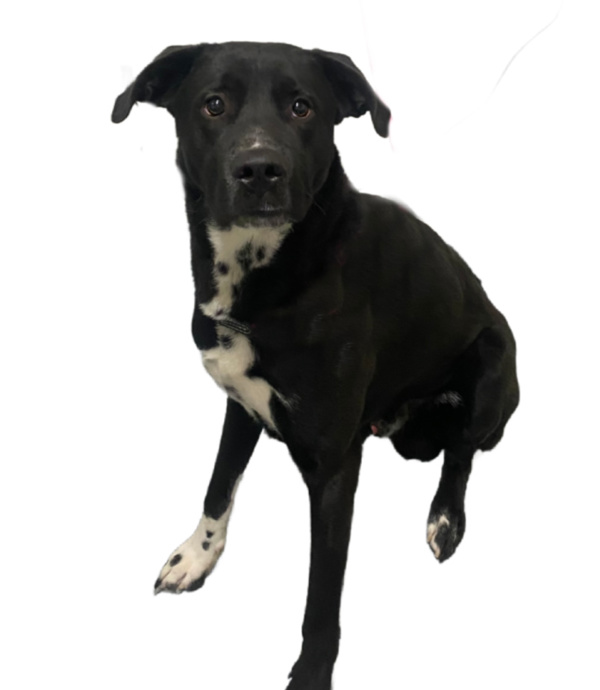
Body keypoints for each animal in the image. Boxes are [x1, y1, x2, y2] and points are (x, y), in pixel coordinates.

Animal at [112, 42, 519, 690]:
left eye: (302, 107)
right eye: (213, 104)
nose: (259, 170)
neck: (266, 281)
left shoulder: (333, 468)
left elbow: (322, 594)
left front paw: (310, 673)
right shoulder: (239, 405)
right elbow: (217, 487)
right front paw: (195, 558)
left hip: (493, 364)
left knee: (461, 456)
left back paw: (444, 521)